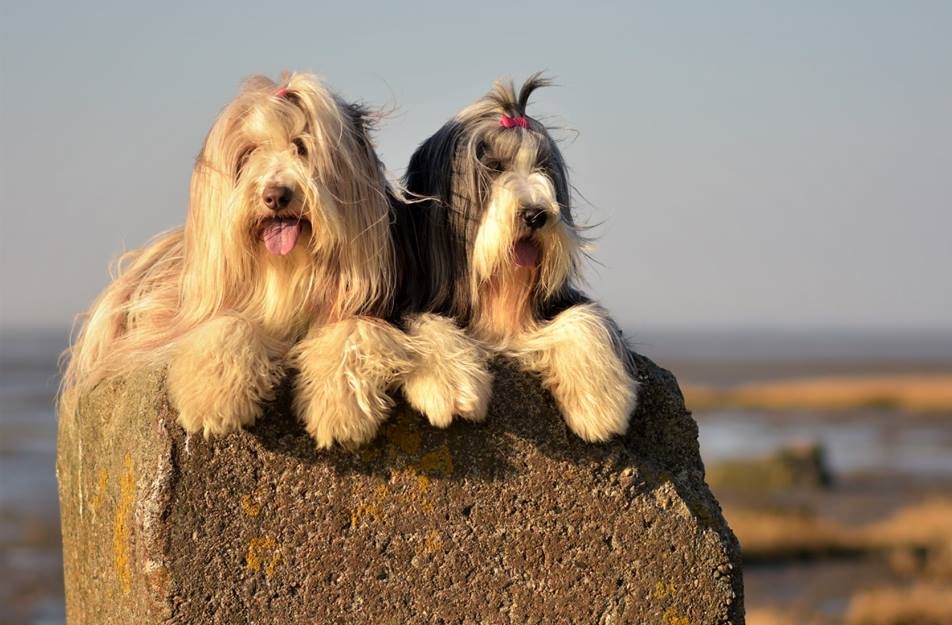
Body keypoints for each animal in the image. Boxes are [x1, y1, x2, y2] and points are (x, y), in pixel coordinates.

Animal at [60, 73, 476, 448]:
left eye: (302, 148)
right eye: (248, 155)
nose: (275, 195)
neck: (289, 270)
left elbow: (352, 332)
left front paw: (341, 411)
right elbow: (227, 324)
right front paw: (216, 400)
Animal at [398, 75, 636, 442]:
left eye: (543, 168)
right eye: (494, 166)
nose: (536, 215)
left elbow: (586, 316)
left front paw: (600, 403)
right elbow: (419, 320)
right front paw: (452, 385)